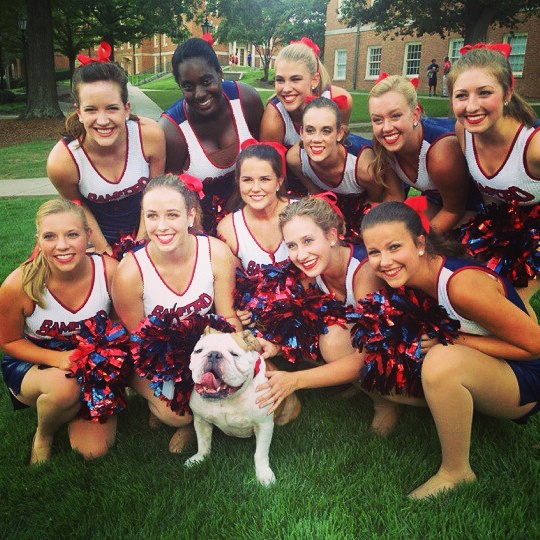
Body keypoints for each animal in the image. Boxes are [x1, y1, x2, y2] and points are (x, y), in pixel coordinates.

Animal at [185, 328, 275, 486]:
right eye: (198, 351)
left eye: (234, 354)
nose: (213, 354)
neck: (227, 399)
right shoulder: (201, 420)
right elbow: (203, 442)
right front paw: (199, 459)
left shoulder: (264, 425)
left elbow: (261, 453)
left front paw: (264, 475)